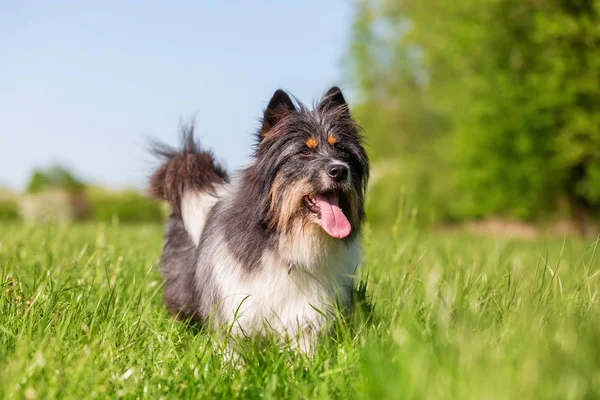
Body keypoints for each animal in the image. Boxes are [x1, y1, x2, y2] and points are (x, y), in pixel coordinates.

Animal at [148, 86, 368, 350]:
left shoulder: (306, 313)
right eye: (304, 151)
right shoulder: (234, 305)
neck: (287, 236)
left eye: (341, 150)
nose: (340, 170)